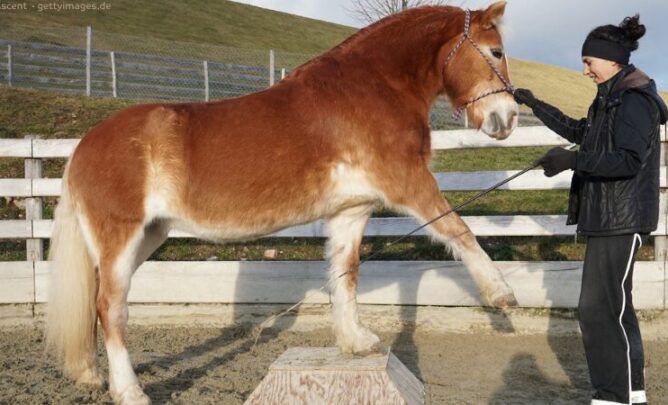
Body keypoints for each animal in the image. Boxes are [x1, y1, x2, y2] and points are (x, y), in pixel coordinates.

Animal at [46, 2, 518, 404]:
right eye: (496, 51)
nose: (508, 118)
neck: (371, 88)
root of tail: (85, 145)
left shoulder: (351, 211)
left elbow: (345, 275)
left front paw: (355, 342)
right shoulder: (410, 184)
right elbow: (458, 229)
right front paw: (502, 294)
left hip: (146, 236)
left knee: (95, 300)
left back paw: (91, 374)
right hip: (122, 236)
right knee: (111, 307)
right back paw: (130, 391)